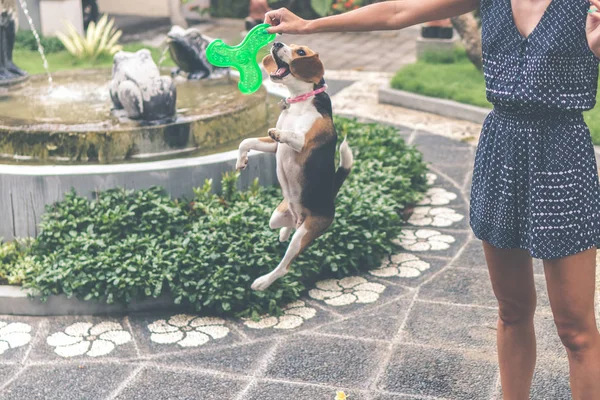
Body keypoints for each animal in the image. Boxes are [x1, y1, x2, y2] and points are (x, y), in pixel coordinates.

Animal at [236, 42, 356, 290]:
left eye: (300, 52)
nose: (276, 43)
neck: (300, 101)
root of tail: (331, 196)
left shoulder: (302, 142)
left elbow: (289, 135)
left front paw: (280, 132)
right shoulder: (274, 147)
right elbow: (247, 142)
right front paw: (241, 160)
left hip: (305, 233)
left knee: (285, 266)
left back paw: (263, 282)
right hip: (277, 215)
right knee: (283, 226)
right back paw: (284, 231)